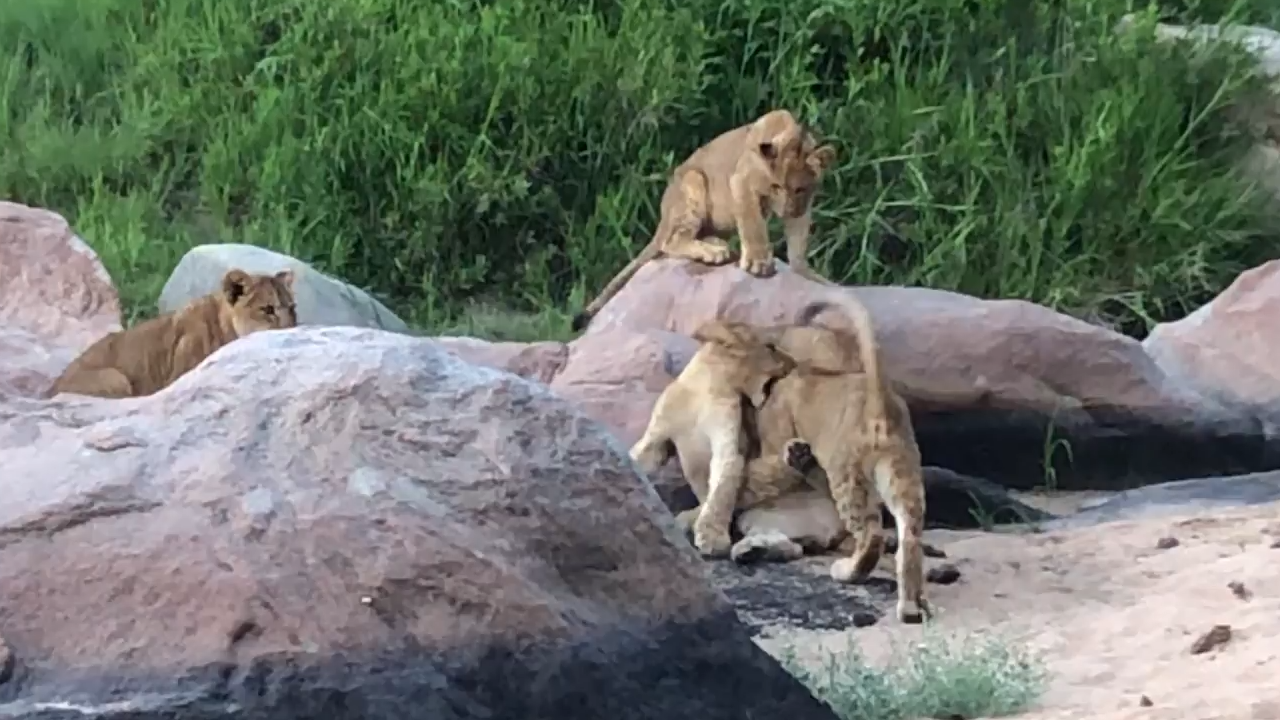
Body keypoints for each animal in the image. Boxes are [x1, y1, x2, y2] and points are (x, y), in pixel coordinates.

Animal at [571, 109, 838, 332]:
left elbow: (798, 245)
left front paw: (809, 275)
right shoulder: (741, 182)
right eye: (776, 186)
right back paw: (713, 252)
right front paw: (759, 263)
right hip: (693, 180)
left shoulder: (802, 207)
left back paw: (716, 245)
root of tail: (663, 218)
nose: (785, 210)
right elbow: (753, 225)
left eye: (799, 189)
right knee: (671, 241)